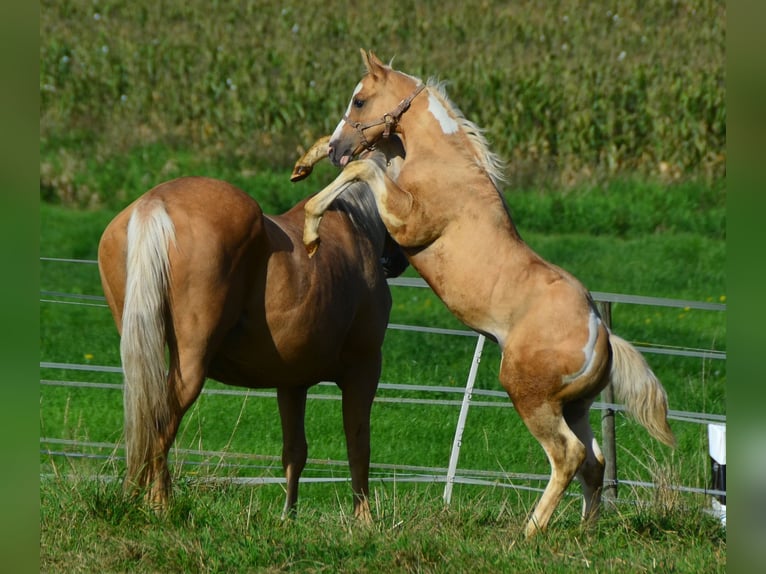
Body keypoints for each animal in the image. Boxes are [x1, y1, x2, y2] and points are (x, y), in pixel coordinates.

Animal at [100, 172, 412, 520]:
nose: (396, 261)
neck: (354, 225)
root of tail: (155, 201)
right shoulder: (364, 370)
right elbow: (359, 446)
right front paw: (364, 520)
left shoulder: (292, 384)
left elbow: (295, 452)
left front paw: (288, 518)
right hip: (189, 368)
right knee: (161, 427)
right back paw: (160, 506)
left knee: (144, 426)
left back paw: (132, 500)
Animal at [300, 50, 680, 540]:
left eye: (360, 100)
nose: (338, 147)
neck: (445, 164)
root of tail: (601, 333)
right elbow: (369, 163)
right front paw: (304, 163)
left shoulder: (408, 220)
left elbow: (364, 168)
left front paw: (310, 227)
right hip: (574, 405)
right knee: (593, 463)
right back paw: (583, 531)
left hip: (529, 396)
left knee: (569, 456)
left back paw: (529, 532)